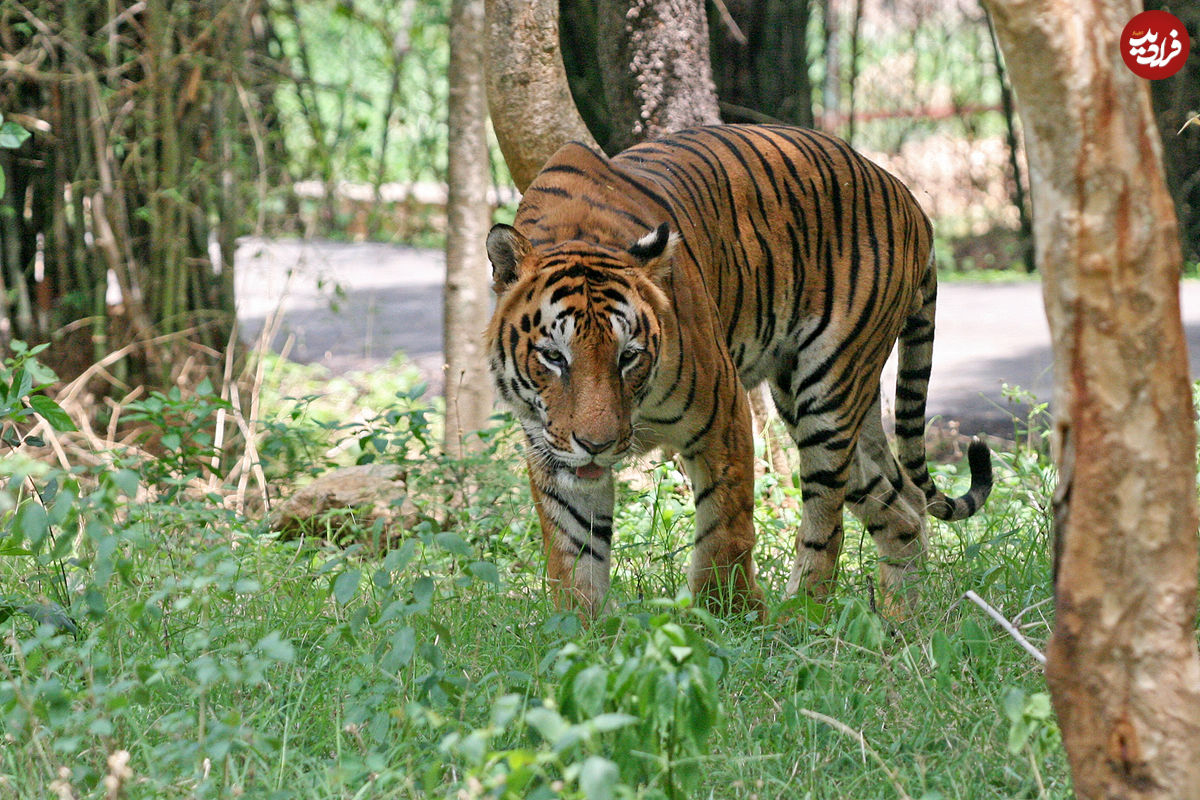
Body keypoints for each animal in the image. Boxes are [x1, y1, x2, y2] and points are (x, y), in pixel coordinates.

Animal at [482, 123, 988, 618]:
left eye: (628, 356)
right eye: (555, 357)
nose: (597, 446)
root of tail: (909, 199)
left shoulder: (722, 414)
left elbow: (725, 530)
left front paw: (729, 616)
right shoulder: (552, 449)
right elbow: (574, 556)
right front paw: (584, 631)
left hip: (828, 392)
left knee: (827, 522)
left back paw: (800, 617)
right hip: (824, 406)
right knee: (906, 508)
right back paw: (904, 622)